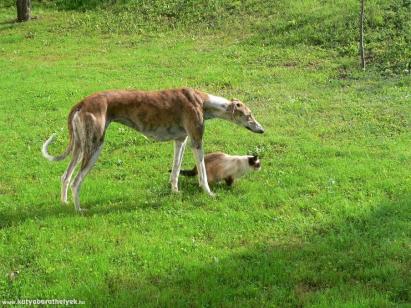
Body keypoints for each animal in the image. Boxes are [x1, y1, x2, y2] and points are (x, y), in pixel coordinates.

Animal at [41, 88, 266, 211]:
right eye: (249, 115)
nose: (262, 130)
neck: (202, 101)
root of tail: (82, 102)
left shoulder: (180, 140)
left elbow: (175, 170)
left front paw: (174, 191)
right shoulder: (196, 140)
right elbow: (202, 171)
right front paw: (209, 193)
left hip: (80, 146)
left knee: (65, 176)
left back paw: (64, 203)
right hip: (95, 145)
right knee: (76, 181)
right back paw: (79, 209)